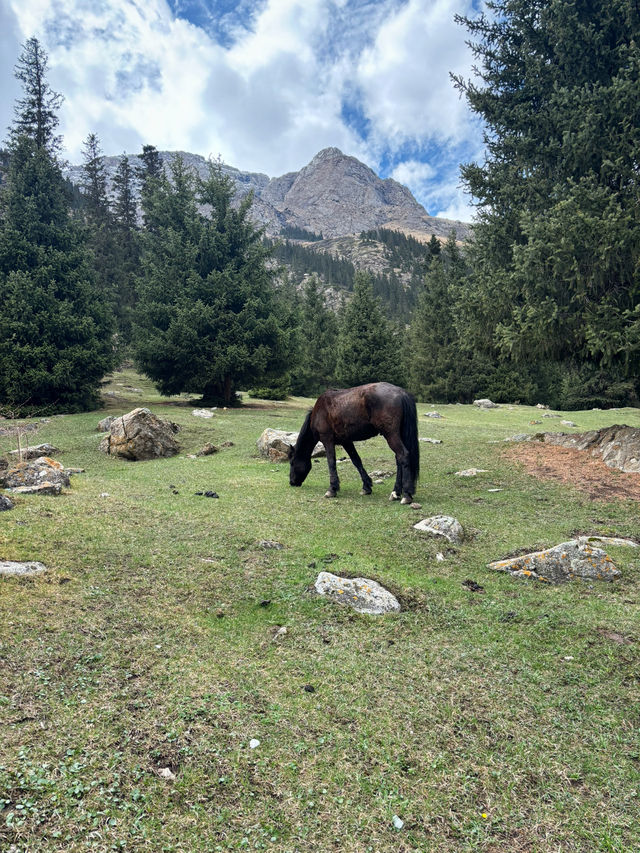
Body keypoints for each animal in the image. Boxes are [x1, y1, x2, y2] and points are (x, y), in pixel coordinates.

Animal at [290, 382, 420, 506]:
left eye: (291, 463)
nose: (291, 482)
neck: (320, 411)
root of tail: (401, 393)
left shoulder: (327, 440)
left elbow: (331, 462)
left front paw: (332, 489)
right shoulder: (346, 441)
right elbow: (356, 461)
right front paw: (366, 487)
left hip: (391, 435)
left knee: (403, 455)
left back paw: (406, 495)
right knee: (399, 459)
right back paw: (395, 493)